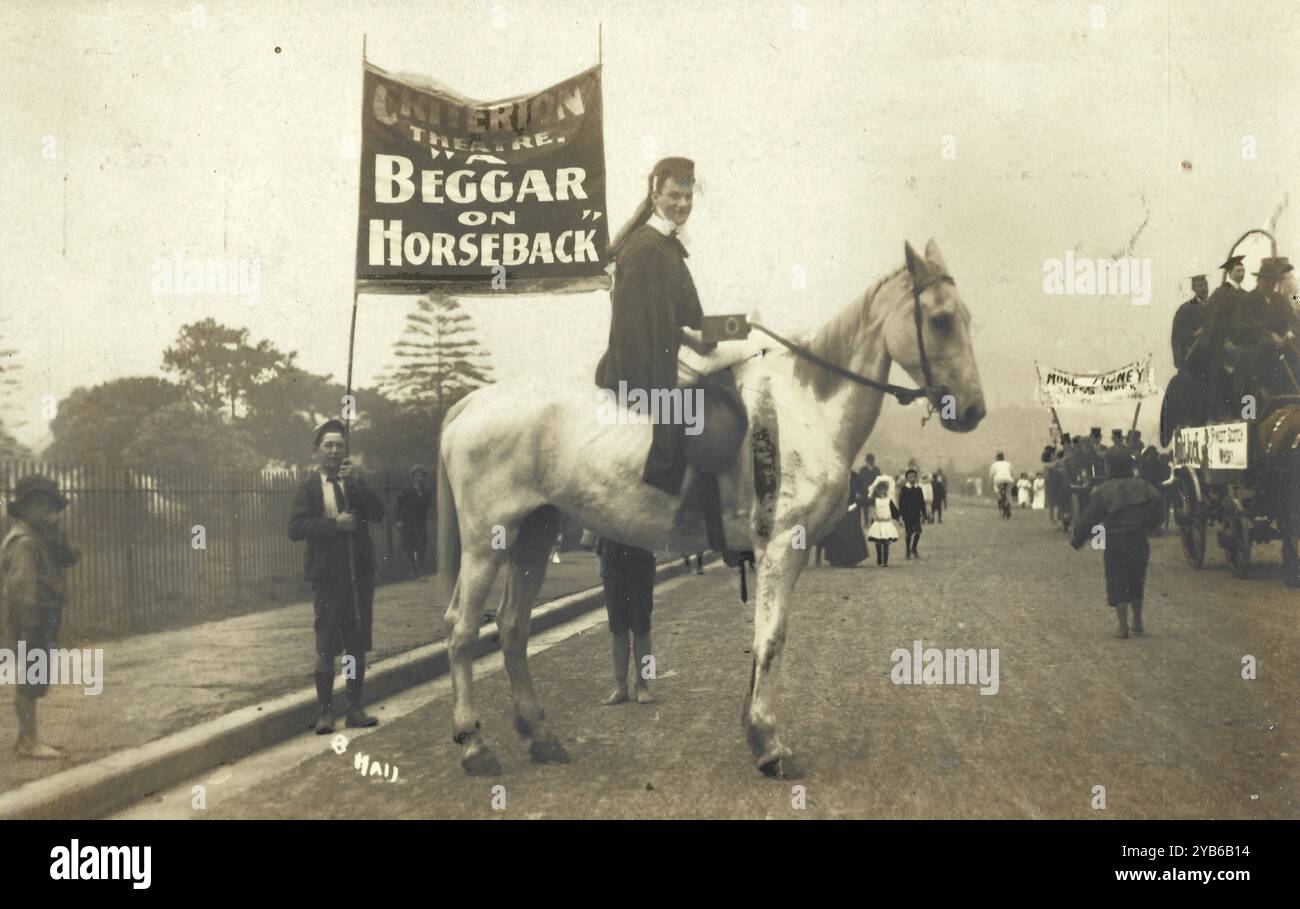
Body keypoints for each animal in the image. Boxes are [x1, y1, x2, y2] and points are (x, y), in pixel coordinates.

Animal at [436, 237, 982, 780]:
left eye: (966, 318)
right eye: (940, 320)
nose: (972, 410)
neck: (804, 408)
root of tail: (471, 404)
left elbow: (764, 640)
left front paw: (755, 731)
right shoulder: (780, 546)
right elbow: (771, 639)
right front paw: (770, 743)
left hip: (535, 531)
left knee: (512, 626)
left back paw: (539, 735)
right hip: (487, 541)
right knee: (463, 630)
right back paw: (473, 745)